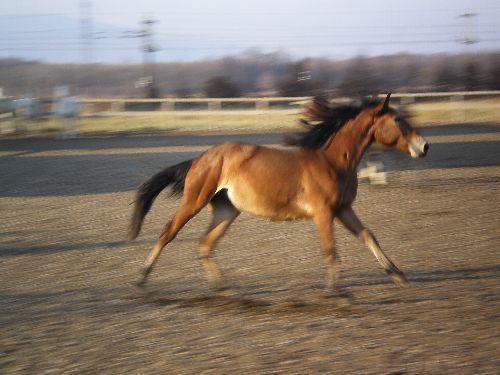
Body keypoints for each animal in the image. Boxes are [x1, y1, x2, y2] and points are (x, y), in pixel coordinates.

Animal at [130, 93, 430, 290]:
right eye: (397, 120)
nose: (424, 146)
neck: (332, 162)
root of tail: (200, 158)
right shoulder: (323, 213)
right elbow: (330, 249)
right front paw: (334, 289)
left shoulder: (343, 209)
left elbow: (368, 236)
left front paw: (397, 274)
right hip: (195, 200)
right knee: (168, 232)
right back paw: (141, 277)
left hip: (227, 210)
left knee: (205, 243)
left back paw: (221, 285)